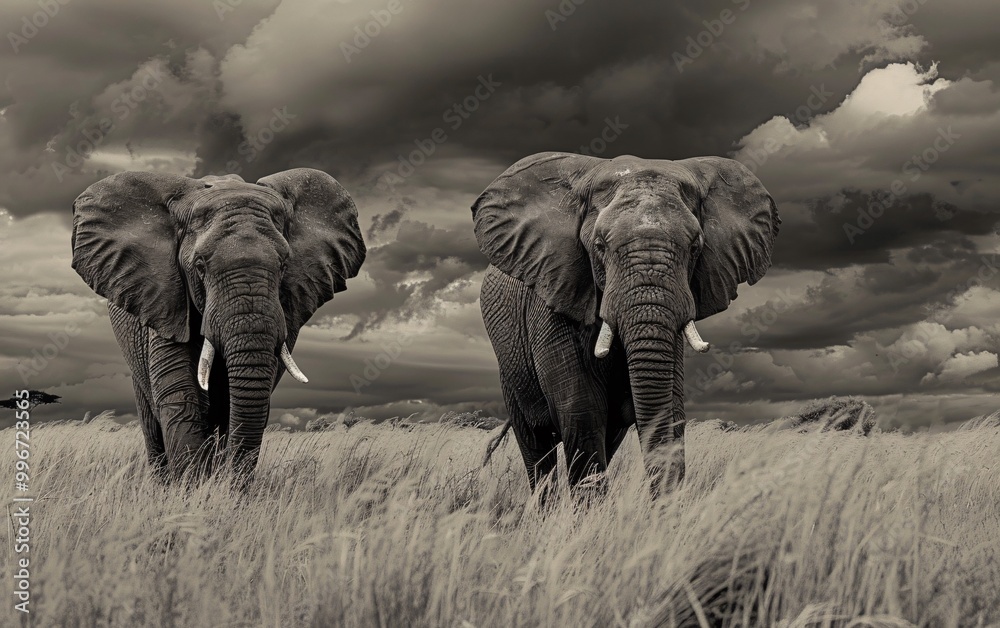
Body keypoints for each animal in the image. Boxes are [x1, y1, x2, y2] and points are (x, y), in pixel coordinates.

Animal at [71, 168, 365, 480]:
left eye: (285, 265)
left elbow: (234, 402)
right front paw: (192, 487)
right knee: (151, 421)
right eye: (200, 266)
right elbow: (183, 395)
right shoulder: (166, 300)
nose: (233, 482)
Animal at [474, 152, 779, 495]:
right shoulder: (554, 292)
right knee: (536, 446)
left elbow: (671, 405)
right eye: (599, 246)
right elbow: (581, 411)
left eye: (695, 247)